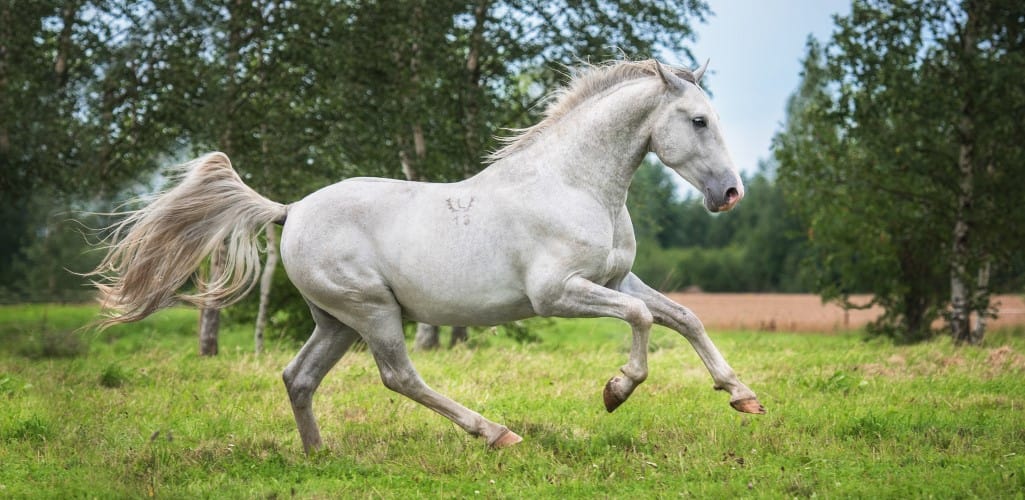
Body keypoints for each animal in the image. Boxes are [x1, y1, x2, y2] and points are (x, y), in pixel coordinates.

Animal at [88, 59, 764, 453]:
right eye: (698, 120)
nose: (731, 194)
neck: (574, 184)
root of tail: (291, 210)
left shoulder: (618, 278)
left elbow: (683, 316)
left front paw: (742, 396)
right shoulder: (558, 293)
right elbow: (645, 320)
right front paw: (617, 390)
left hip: (336, 321)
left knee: (298, 376)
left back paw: (318, 456)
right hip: (373, 313)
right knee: (399, 376)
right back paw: (496, 433)